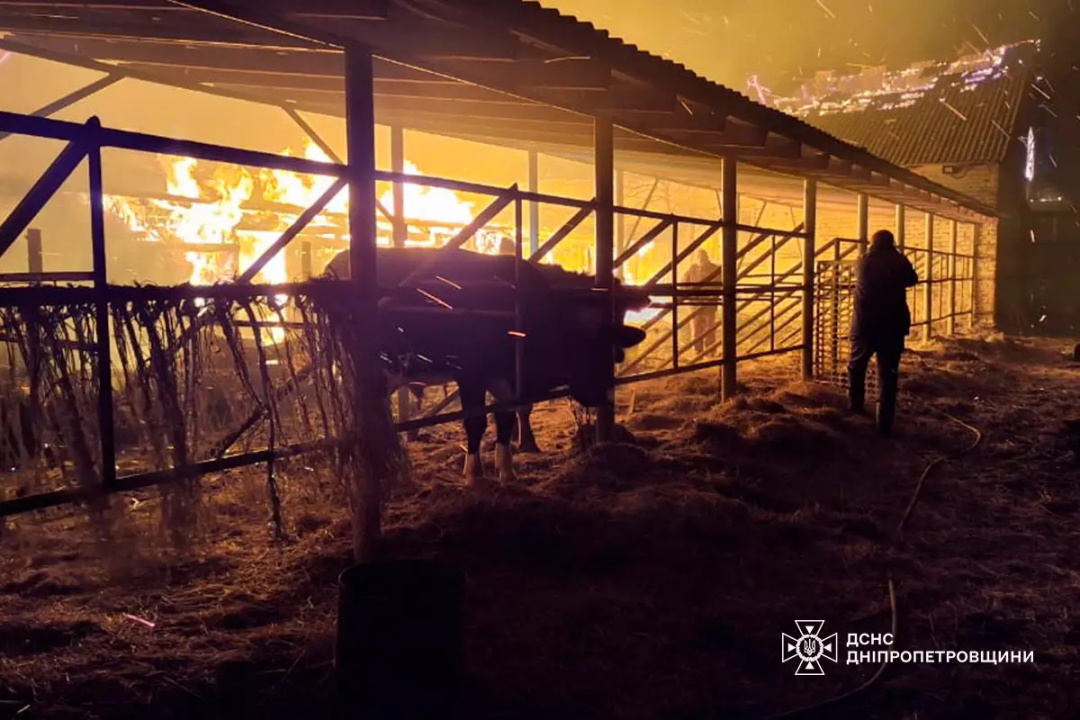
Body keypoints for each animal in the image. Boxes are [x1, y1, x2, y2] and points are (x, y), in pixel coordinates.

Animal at [321, 249, 648, 483]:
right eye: (575, 342)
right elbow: (476, 421)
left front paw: (507, 471)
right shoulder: (471, 375)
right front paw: (474, 474)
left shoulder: (508, 383)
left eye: (611, 332)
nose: (602, 393)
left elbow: (505, 419)